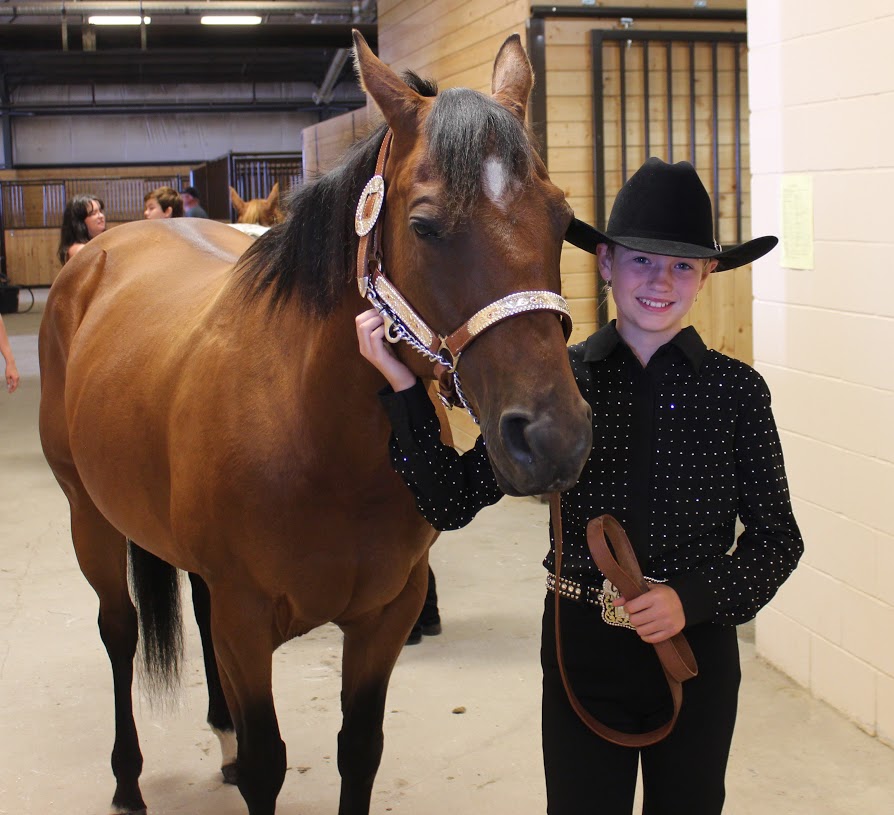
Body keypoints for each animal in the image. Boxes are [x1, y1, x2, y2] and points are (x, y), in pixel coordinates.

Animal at [36, 28, 596, 812]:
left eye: (560, 218)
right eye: (425, 226)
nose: (553, 437)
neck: (319, 434)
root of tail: (102, 251)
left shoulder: (384, 615)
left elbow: (358, 751)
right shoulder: (246, 621)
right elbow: (269, 762)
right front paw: (237, 759)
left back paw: (220, 738)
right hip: (88, 515)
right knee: (118, 632)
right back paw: (126, 781)